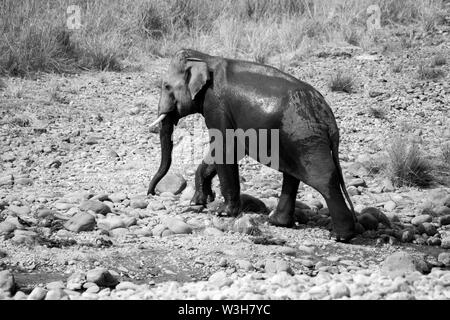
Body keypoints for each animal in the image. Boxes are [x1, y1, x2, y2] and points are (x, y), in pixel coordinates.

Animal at [148, 48, 358, 241]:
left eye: (166, 86)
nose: (151, 193)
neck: (206, 57)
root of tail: (328, 116)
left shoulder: (216, 105)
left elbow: (225, 147)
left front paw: (222, 212)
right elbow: (228, 150)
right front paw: (199, 202)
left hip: (305, 136)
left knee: (323, 178)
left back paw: (341, 237)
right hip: (295, 139)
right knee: (292, 175)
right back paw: (276, 222)